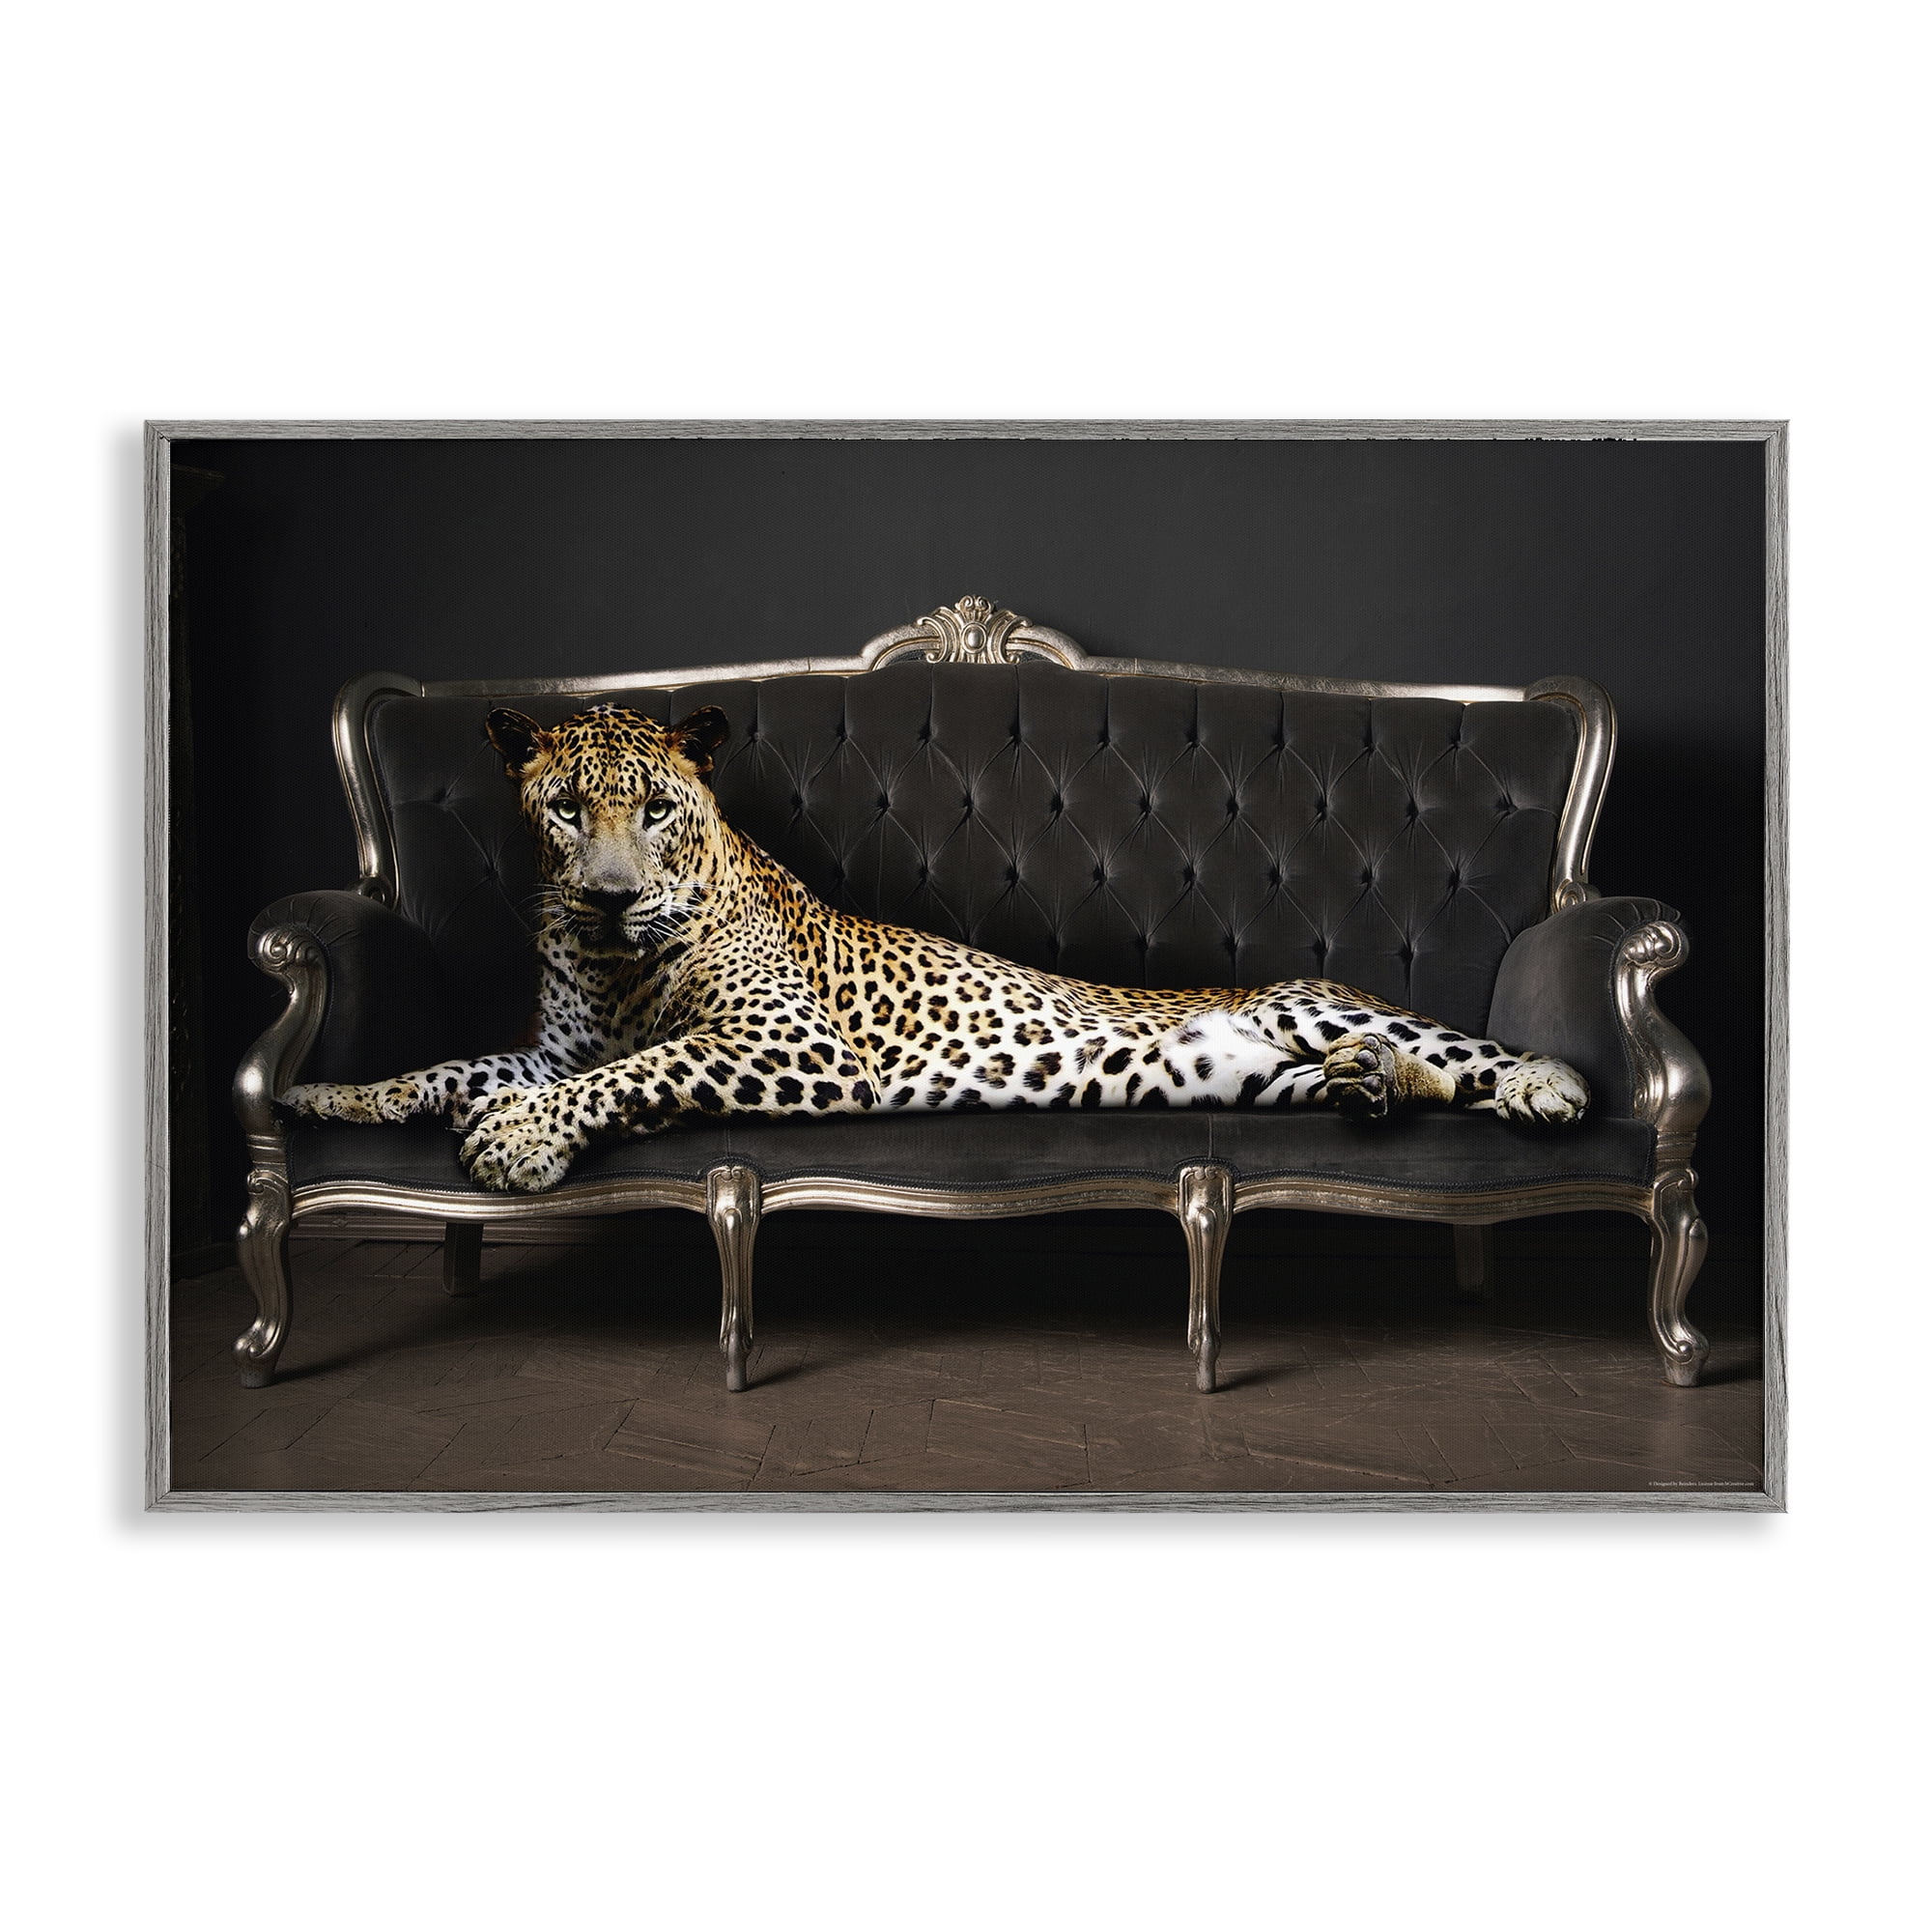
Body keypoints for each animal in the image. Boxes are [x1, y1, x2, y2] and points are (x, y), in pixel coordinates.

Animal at [282, 701, 1591, 1191]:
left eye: (654, 808)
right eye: (564, 810)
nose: (607, 897)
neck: (616, 961)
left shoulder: (792, 1043)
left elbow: (642, 1070)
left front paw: (515, 1140)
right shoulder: (554, 1046)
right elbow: (453, 1064)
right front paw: (333, 1096)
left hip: (1313, 1003)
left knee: (1461, 1054)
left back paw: (1538, 1084)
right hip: (1259, 1074)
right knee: (1391, 1080)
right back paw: (1370, 1086)